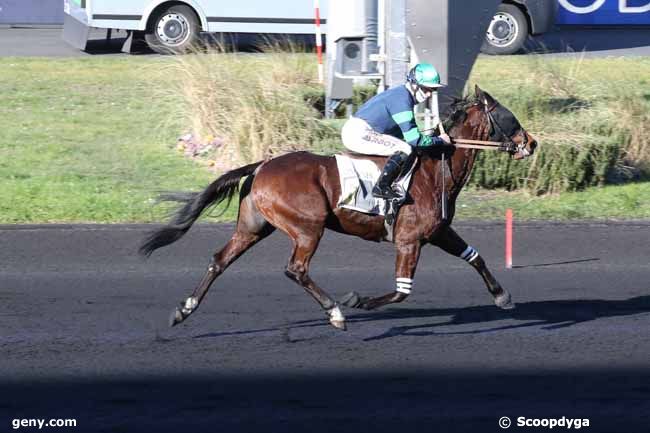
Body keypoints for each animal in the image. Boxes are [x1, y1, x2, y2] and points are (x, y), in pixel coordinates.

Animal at [140, 84, 536, 330]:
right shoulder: (409, 239)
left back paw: (184, 309)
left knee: (220, 260)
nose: (531, 143)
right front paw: (356, 300)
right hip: (307, 227)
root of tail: (262, 165)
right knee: (296, 269)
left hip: (254, 227)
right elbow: (402, 290)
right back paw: (335, 312)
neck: (434, 170)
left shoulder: (438, 231)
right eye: (509, 116)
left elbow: (475, 257)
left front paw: (502, 296)